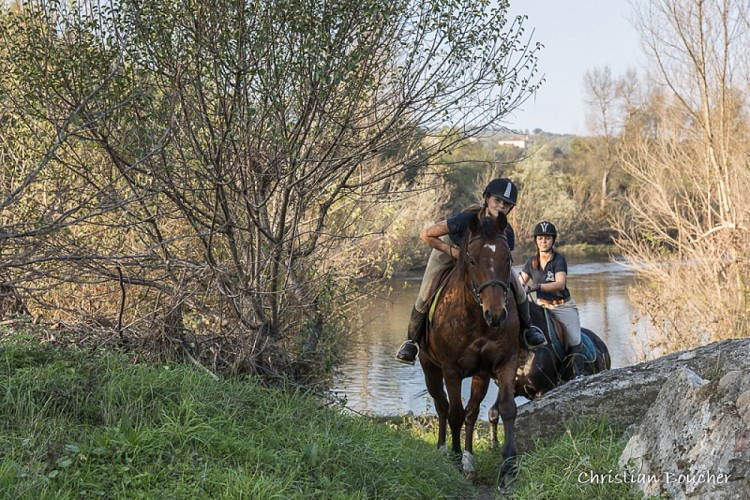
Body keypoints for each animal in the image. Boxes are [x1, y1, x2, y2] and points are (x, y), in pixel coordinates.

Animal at [420, 211, 520, 476]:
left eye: (508, 258)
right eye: (473, 261)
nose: (496, 314)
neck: (477, 320)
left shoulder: (502, 364)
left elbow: (506, 409)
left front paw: (508, 464)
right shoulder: (451, 370)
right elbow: (454, 413)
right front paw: (455, 459)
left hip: (479, 375)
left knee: (471, 413)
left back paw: (468, 458)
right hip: (430, 369)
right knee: (442, 406)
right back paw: (443, 449)